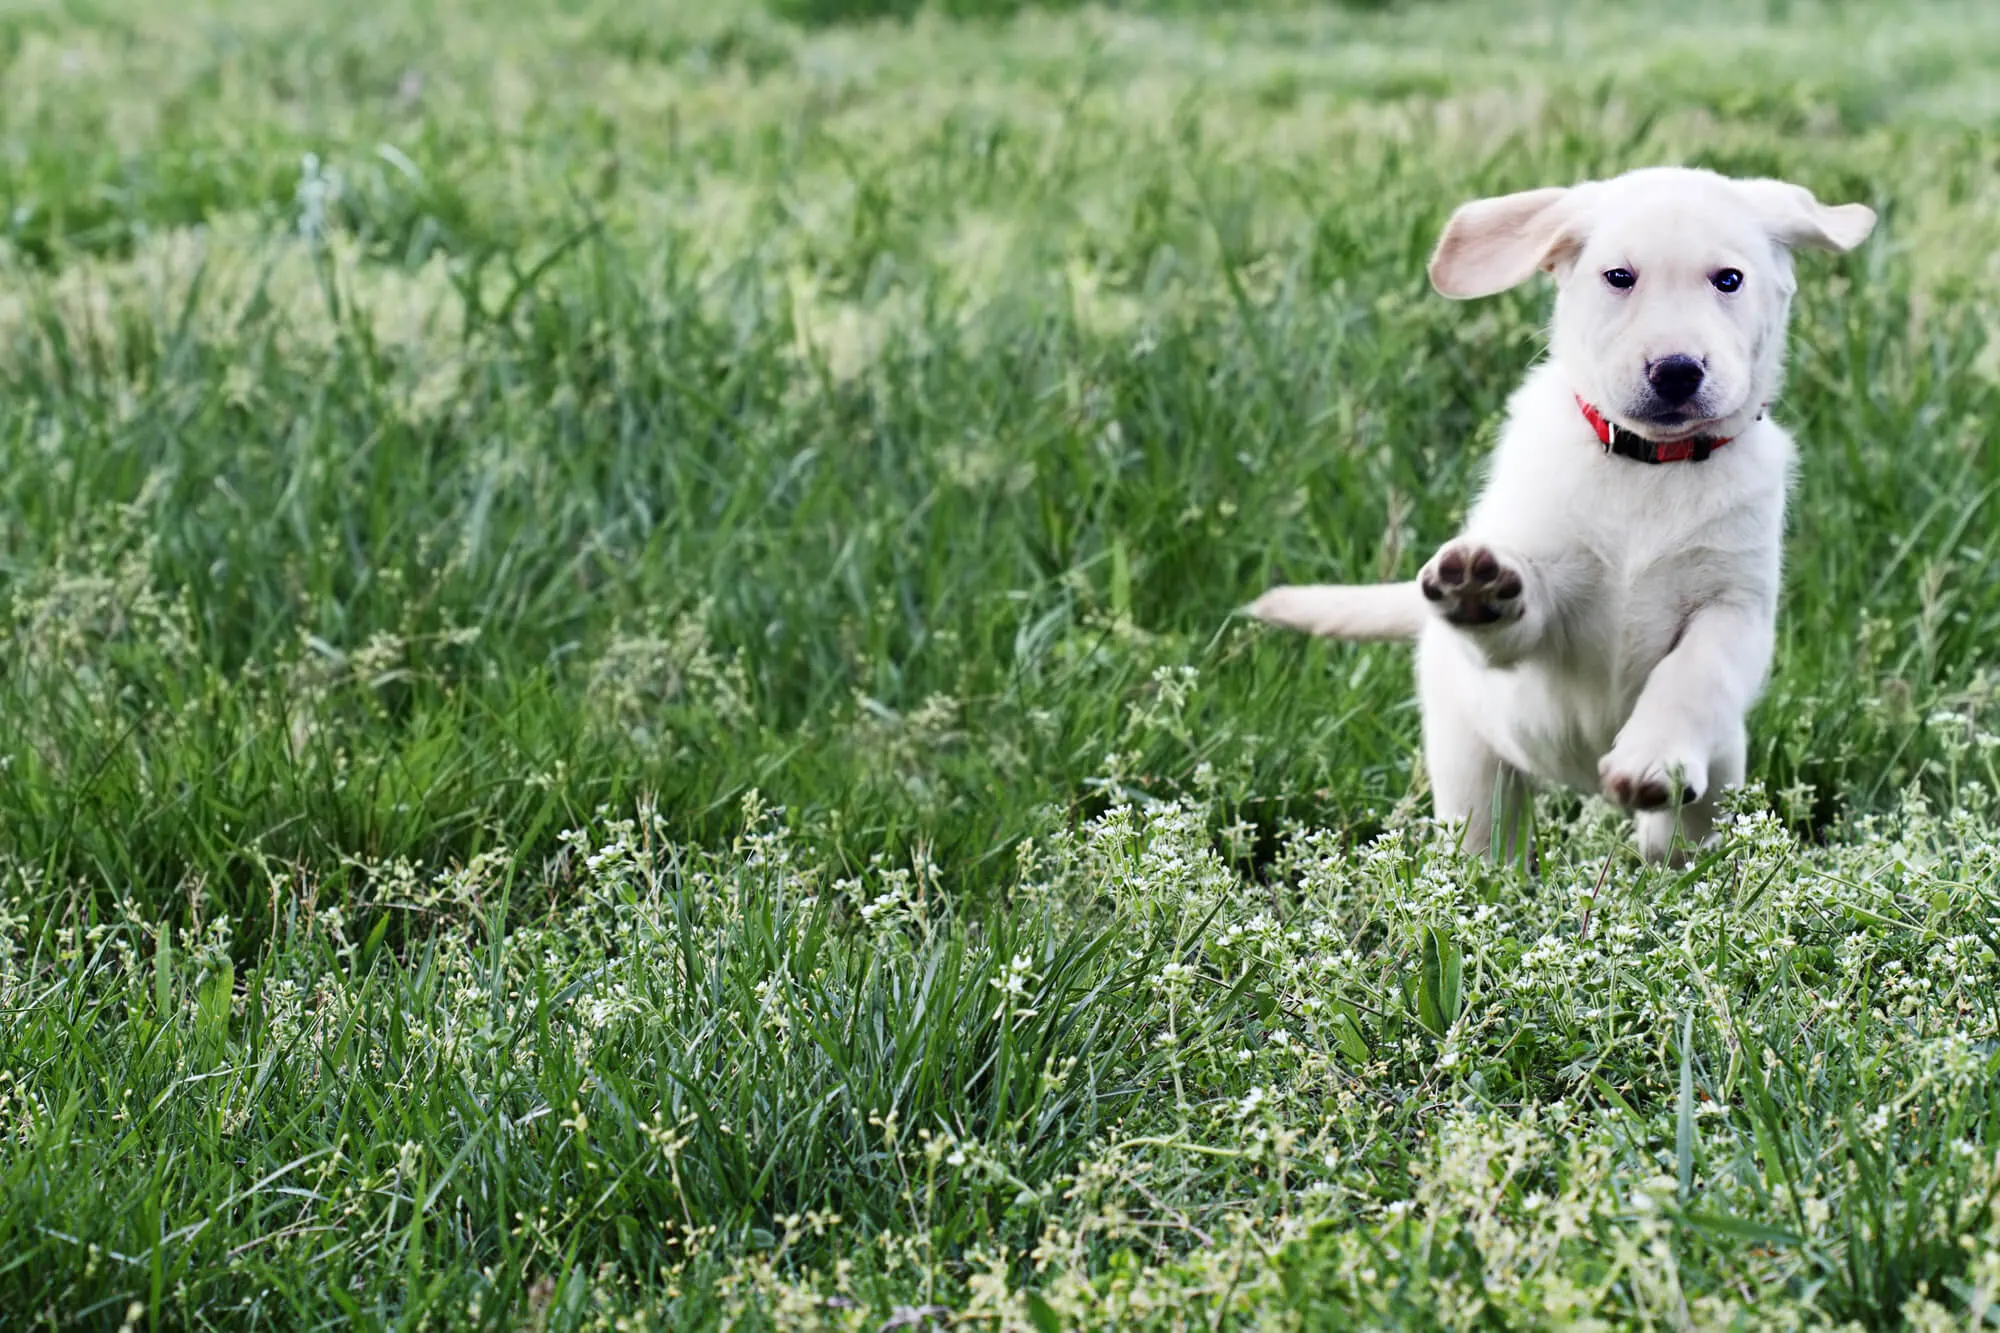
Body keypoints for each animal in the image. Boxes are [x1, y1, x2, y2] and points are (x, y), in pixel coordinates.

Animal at [1248, 163, 1872, 860]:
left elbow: (1694, 674)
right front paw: (1480, 591)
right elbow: (1523, 617)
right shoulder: (1550, 602)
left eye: (1729, 279)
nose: (1676, 370)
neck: (1648, 466)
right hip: (1473, 768)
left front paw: (1653, 760)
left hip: (1717, 786)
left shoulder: (1735, 608)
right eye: (1619, 277)